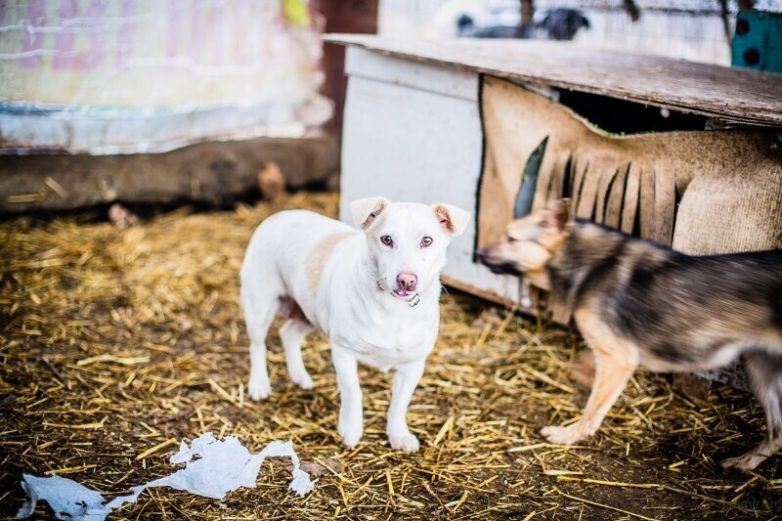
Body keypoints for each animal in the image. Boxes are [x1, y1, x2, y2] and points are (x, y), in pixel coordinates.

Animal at [242, 197, 468, 448]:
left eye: (427, 240)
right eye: (386, 239)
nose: (406, 280)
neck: (394, 309)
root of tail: (279, 215)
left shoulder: (413, 365)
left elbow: (399, 403)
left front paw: (398, 435)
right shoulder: (344, 352)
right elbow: (353, 393)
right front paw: (350, 430)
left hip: (309, 313)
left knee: (288, 334)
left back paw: (300, 376)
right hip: (260, 307)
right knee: (257, 346)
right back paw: (259, 385)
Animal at [478, 199, 782, 472]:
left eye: (511, 238)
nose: (478, 253)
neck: (589, 263)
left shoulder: (617, 360)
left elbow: (592, 411)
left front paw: (568, 436)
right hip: (760, 370)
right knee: (776, 434)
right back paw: (744, 463)